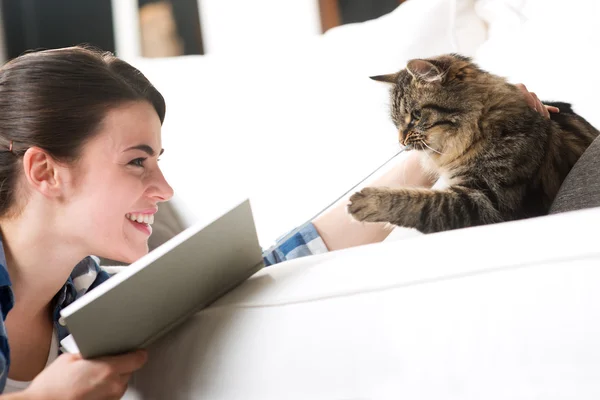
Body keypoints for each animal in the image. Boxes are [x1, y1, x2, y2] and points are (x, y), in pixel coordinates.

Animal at [346, 54, 600, 233]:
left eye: (416, 116)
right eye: (396, 122)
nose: (401, 141)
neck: (478, 128)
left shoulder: (489, 202)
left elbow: (423, 203)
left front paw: (366, 201)